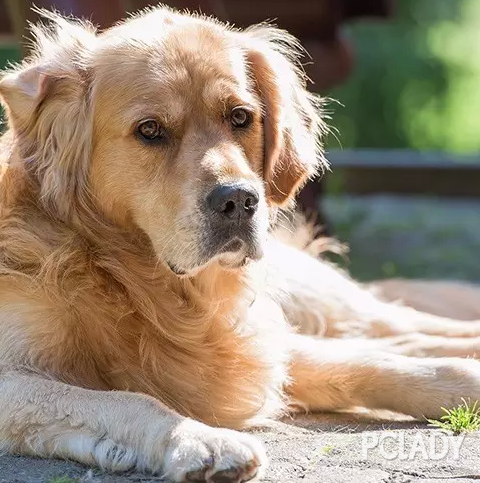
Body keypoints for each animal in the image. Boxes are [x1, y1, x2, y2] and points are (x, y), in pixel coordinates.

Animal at [2, 5, 480, 482]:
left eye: (239, 117)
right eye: (150, 130)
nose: (238, 201)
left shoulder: (253, 341)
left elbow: (366, 363)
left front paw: (462, 379)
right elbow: (129, 400)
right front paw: (201, 440)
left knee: (396, 327)